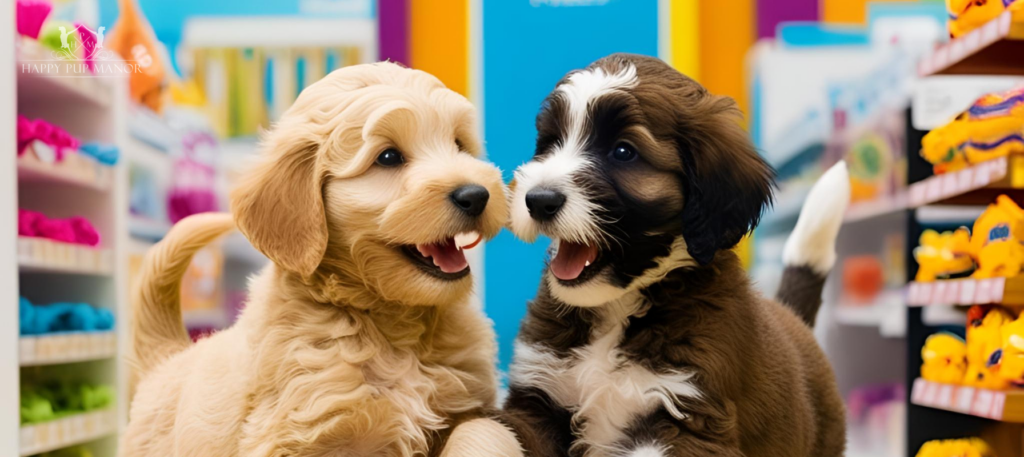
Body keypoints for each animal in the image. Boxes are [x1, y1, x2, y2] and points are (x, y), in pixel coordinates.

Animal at [118, 63, 520, 457]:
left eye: (459, 145)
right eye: (388, 157)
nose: (476, 195)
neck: (391, 323)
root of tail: (166, 357)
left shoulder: (466, 403)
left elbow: (482, 429)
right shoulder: (301, 432)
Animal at [501, 54, 847, 457]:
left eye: (623, 152)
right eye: (550, 143)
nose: (539, 199)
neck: (616, 309)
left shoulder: (690, 412)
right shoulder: (539, 399)